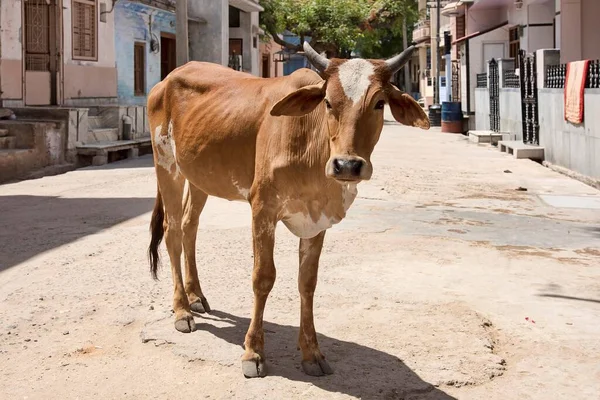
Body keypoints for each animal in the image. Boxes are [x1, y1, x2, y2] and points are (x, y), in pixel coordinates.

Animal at [147, 42, 428, 380]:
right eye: (328, 102)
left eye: (379, 103)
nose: (347, 165)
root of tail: (167, 79)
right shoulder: (262, 209)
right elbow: (263, 277)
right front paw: (253, 352)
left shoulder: (317, 221)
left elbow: (307, 283)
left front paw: (312, 353)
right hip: (166, 165)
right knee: (172, 232)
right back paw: (181, 310)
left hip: (199, 176)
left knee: (190, 227)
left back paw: (196, 296)